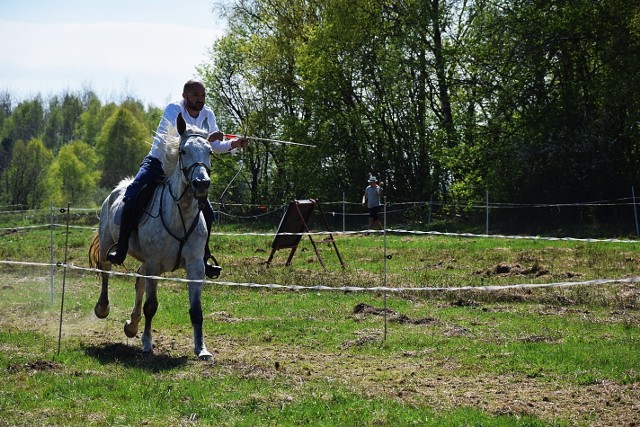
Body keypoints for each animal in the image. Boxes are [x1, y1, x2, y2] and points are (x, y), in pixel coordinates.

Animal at [89, 113, 214, 362]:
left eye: (209, 151)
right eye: (183, 151)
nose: (201, 184)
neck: (180, 214)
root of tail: (116, 190)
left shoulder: (195, 266)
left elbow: (196, 310)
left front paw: (201, 349)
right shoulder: (155, 264)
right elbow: (151, 305)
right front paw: (147, 343)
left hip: (145, 263)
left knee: (138, 280)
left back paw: (131, 325)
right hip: (109, 246)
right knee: (106, 271)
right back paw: (103, 308)